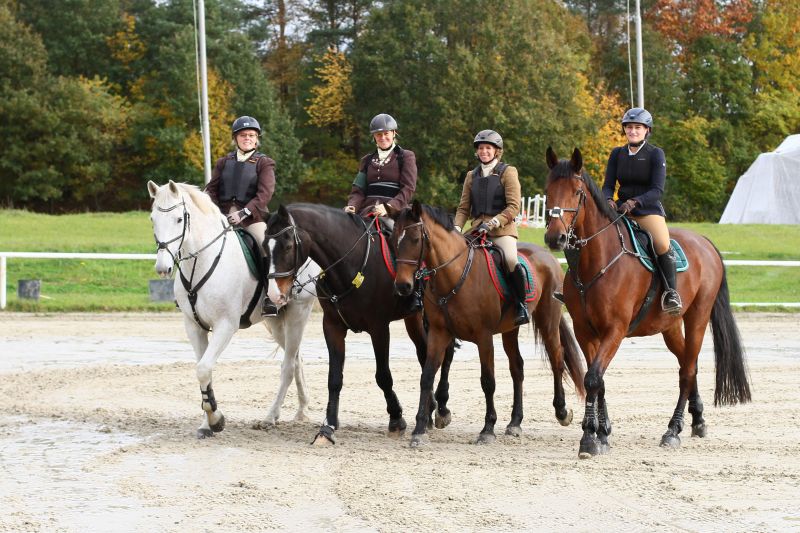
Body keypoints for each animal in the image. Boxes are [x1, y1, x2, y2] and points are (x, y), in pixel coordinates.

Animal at [148, 181, 321, 438]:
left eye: (179, 219)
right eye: (152, 219)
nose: (162, 268)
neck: (202, 262)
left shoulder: (225, 326)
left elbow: (203, 368)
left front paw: (216, 419)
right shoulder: (194, 327)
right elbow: (204, 371)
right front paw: (206, 424)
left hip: (297, 314)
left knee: (289, 366)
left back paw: (270, 417)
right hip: (276, 322)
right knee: (296, 358)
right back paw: (300, 410)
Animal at [264, 203, 455, 445]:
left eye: (288, 246)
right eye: (264, 247)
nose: (274, 295)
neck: (352, 264)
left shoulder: (379, 328)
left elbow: (383, 376)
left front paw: (396, 419)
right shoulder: (332, 327)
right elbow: (334, 379)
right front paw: (327, 428)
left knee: (444, 355)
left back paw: (441, 409)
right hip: (413, 319)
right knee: (424, 355)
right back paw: (429, 411)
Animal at [391, 201, 585, 446]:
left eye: (416, 239)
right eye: (393, 239)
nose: (403, 286)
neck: (454, 274)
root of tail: (547, 255)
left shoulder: (483, 337)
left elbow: (487, 381)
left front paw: (488, 428)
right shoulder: (438, 333)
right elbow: (426, 377)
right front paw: (419, 429)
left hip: (548, 322)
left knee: (557, 360)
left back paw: (561, 411)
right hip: (511, 330)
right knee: (517, 368)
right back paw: (515, 422)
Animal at [543, 147, 751, 458]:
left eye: (577, 192)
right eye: (548, 191)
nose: (554, 237)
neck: (596, 261)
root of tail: (704, 242)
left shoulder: (615, 331)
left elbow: (592, 379)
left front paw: (589, 439)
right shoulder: (585, 331)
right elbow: (599, 381)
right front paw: (602, 433)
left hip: (698, 317)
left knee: (688, 370)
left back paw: (672, 431)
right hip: (670, 326)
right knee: (687, 363)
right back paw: (698, 420)